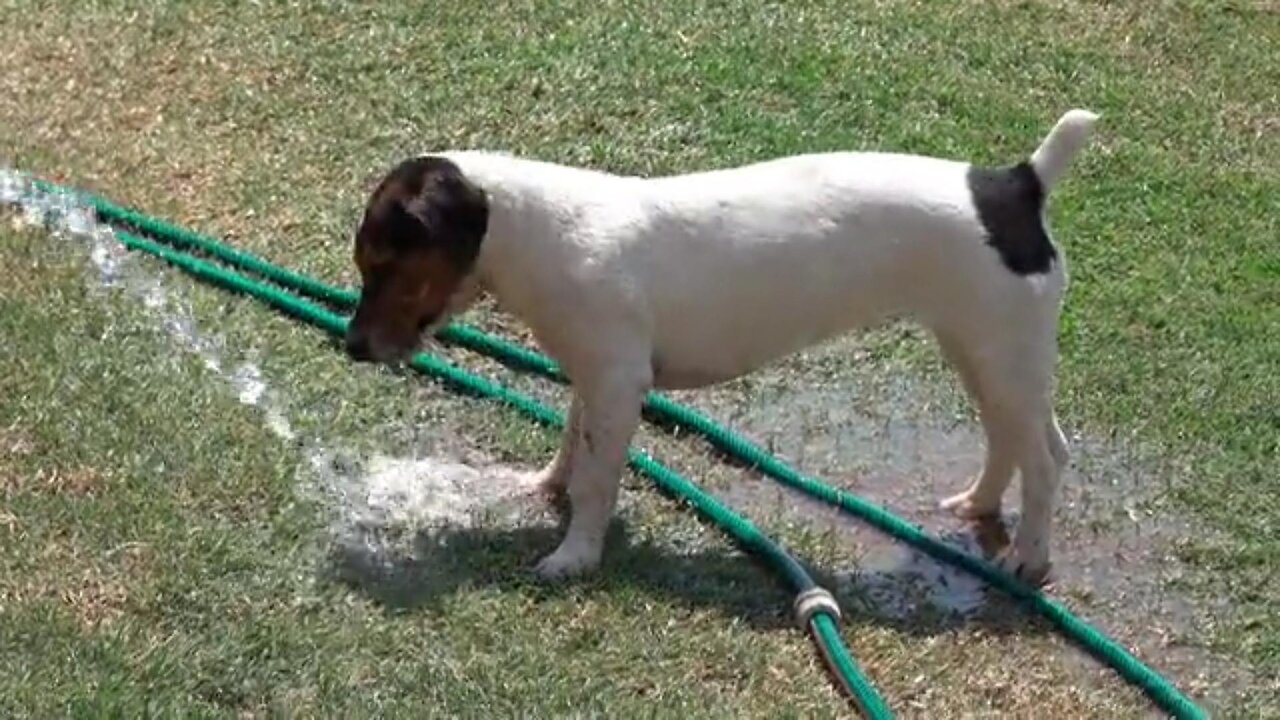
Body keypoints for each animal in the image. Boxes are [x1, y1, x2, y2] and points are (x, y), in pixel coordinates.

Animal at [345, 110, 1095, 584]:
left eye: (381, 264)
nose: (351, 349)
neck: (532, 227)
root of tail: (1015, 185)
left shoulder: (618, 382)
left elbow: (596, 480)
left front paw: (575, 557)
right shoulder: (594, 375)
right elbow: (571, 442)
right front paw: (548, 488)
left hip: (1006, 354)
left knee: (1047, 458)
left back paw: (1028, 559)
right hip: (980, 349)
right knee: (1007, 438)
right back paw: (977, 504)